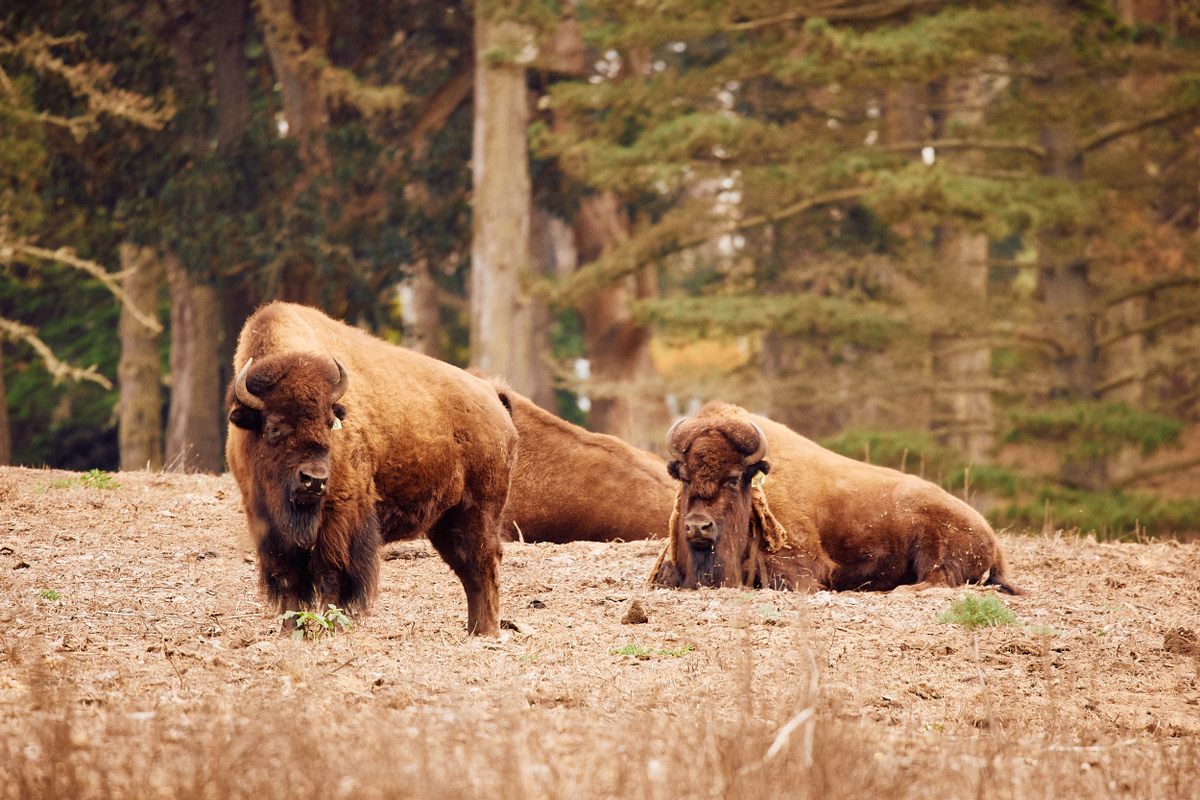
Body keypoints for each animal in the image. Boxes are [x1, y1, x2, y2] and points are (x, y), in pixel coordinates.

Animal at [226, 302, 518, 638]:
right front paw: (290, 632)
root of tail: (493, 397)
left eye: (329, 423)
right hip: (447, 520)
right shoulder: (265, 520)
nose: (314, 480)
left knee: (484, 563)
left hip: (480, 511)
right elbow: (288, 577)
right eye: (274, 427)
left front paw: (329, 630)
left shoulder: (340, 515)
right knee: (469, 569)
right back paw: (474, 630)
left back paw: (487, 631)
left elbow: (331, 573)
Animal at [652, 400, 1017, 594]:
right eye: (684, 477)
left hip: (934, 550)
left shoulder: (803, 566)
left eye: (732, 479)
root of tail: (990, 536)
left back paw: (899, 590)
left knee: (938, 580)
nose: (698, 527)